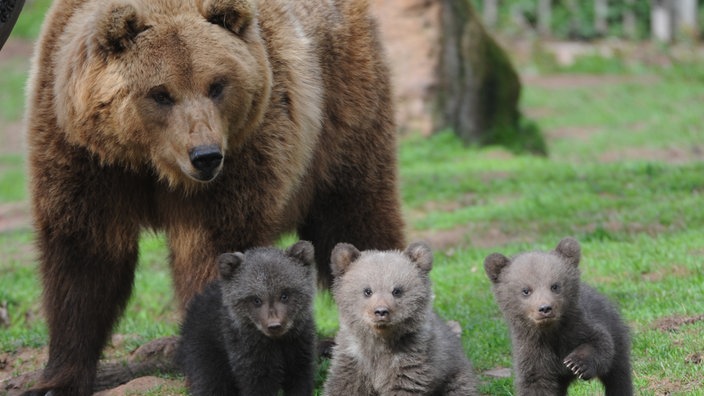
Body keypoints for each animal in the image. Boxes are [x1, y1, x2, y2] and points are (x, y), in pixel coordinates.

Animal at [24, 0, 404, 392]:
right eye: (161, 93)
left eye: (217, 85)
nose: (205, 155)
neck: (150, 162)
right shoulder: (87, 159)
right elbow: (84, 260)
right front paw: (57, 380)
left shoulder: (239, 158)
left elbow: (213, 251)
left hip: (341, 114)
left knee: (354, 216)